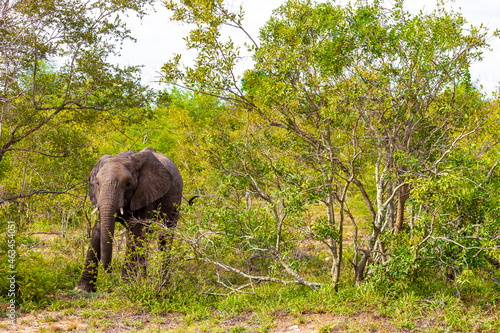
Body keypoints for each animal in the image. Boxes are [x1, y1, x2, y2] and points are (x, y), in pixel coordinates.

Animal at [74, 147, 184, 292]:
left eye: (128, 184)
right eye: (97, 183)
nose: (109, 270)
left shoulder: (146, 193)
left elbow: (136, 232)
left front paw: (126, 287)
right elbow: (97, 231)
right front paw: (81, 289)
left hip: (176, 201)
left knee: (164, 238)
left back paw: (162, 285)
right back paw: (144, 281)